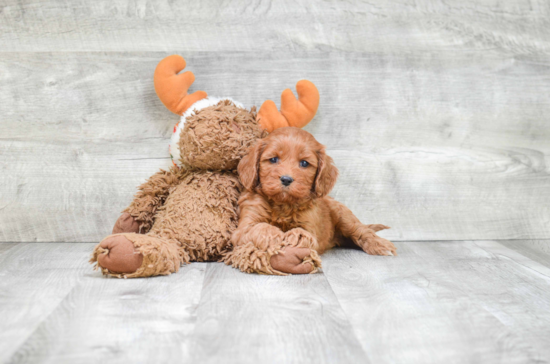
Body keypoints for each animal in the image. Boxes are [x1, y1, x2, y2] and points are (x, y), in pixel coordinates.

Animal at [226, 126, 398, 274]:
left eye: (304, 163)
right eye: (273, 159)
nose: (286, 179)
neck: (283, 204)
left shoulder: (310, 223)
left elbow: (306, 234)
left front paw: (298, 236)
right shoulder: (244, 227)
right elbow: (260, 227)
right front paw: (276, 235)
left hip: (344, 216)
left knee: (362, 231)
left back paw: (380, 244)